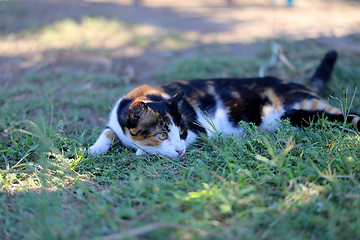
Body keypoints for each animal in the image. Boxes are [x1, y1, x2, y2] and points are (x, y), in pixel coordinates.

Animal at [90, 50, 360, 158]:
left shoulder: (200, 130)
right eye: (162, 134)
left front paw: (140, 150)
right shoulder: (116, 121)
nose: (179, 150)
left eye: (182, 133)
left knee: (348, 115)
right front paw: (94, 149)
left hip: (304, 107)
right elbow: (108, 131)